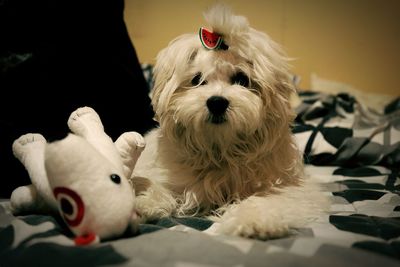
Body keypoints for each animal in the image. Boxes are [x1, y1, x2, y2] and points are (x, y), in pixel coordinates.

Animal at [134, 4, 328, 239]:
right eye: (197, 80)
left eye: (242, 80)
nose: (217, 103)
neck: (222, 150)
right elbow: (158, 185)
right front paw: (143, 202)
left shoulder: (290, 188)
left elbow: (269, 199)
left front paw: (253, 220)